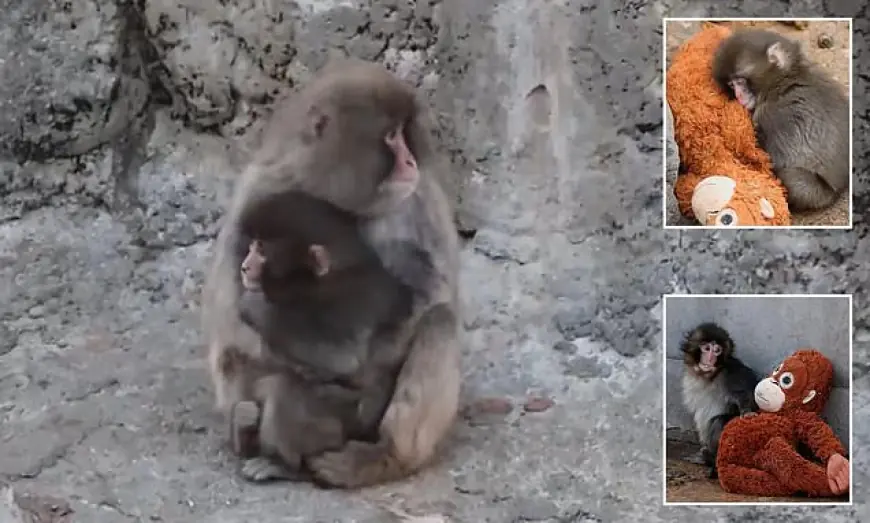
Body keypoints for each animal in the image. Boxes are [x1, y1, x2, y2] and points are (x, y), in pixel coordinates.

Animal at [201, 59, 461, 488]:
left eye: (403, 134)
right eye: (391, 136)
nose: (410, 162)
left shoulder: (414, 201)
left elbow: (431, 295)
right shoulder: (258, 190)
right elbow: (230, 317)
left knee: (440, 322)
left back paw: (384, 455)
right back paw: (247, 433)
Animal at [680, 322, 760, 479]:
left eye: (717, 351)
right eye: (706, 348)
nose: (710, 359)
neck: (710, 375)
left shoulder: (732, 372)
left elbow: (748, 394)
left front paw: (747, 412)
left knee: (719, 421)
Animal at [712, 28, 850, 211]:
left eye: (740, 81)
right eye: (731, 85)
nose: (738, 96)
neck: (782, 81)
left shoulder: (769, 115)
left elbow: (769, 159)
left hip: (817, 194)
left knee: (792, 180)